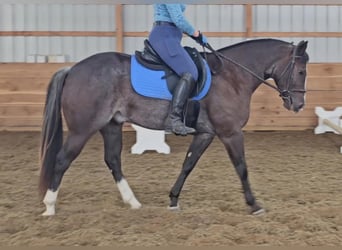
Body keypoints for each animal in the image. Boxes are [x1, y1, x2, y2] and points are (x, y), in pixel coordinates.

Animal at [38, 38, 308, 216]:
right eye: (301, 71)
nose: (298, 104)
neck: (232, 76)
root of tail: (73, 69)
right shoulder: (230, 133)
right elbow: (242, 168)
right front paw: (254, 205)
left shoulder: (206, 134)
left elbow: (188, 164)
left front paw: (173, 199)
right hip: (82, 130)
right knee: (62, 160)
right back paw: (49, 206)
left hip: (111, 125)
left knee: (113, 160)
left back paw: (133, 202)